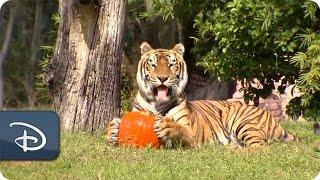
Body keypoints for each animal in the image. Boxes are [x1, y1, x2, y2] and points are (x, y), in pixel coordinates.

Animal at [105, 42, 298, 148]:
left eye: (171, 64)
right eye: (153, 64)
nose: (162, 78)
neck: (156, 104)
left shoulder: (192, 133)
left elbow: (180, 129)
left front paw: (168, 126)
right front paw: (113, 128)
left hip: (244, 121)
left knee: (260, 147)